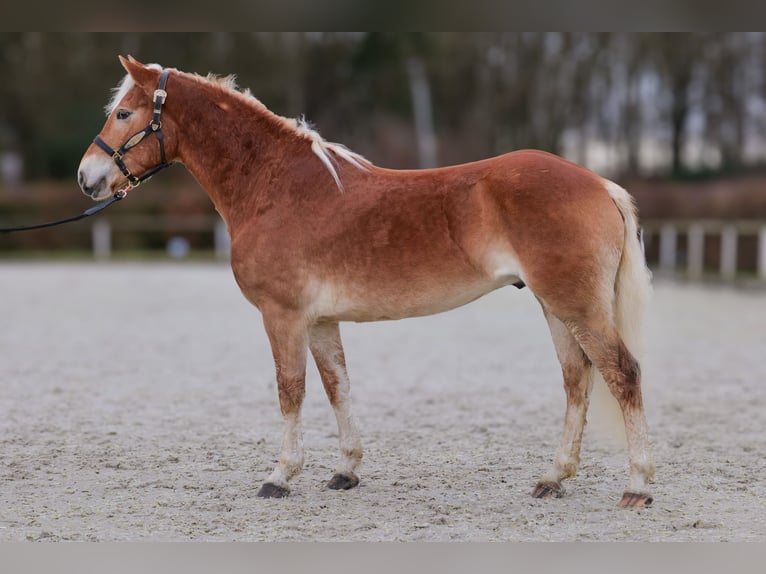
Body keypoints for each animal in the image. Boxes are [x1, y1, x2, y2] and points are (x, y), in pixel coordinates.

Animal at [76, 57, 656, 508]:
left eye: (124, 112)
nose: (87, 178)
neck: (275, 186)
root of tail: (599, 183)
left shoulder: (283, 316)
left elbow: (291, 390)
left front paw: (280, 476)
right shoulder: (319, 321)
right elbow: (337, 386)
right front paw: (346, 470)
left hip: (576, 306)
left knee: (622, 374)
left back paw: (637, 486)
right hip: (555, 306)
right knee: (577, 380)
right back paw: (553, 479)